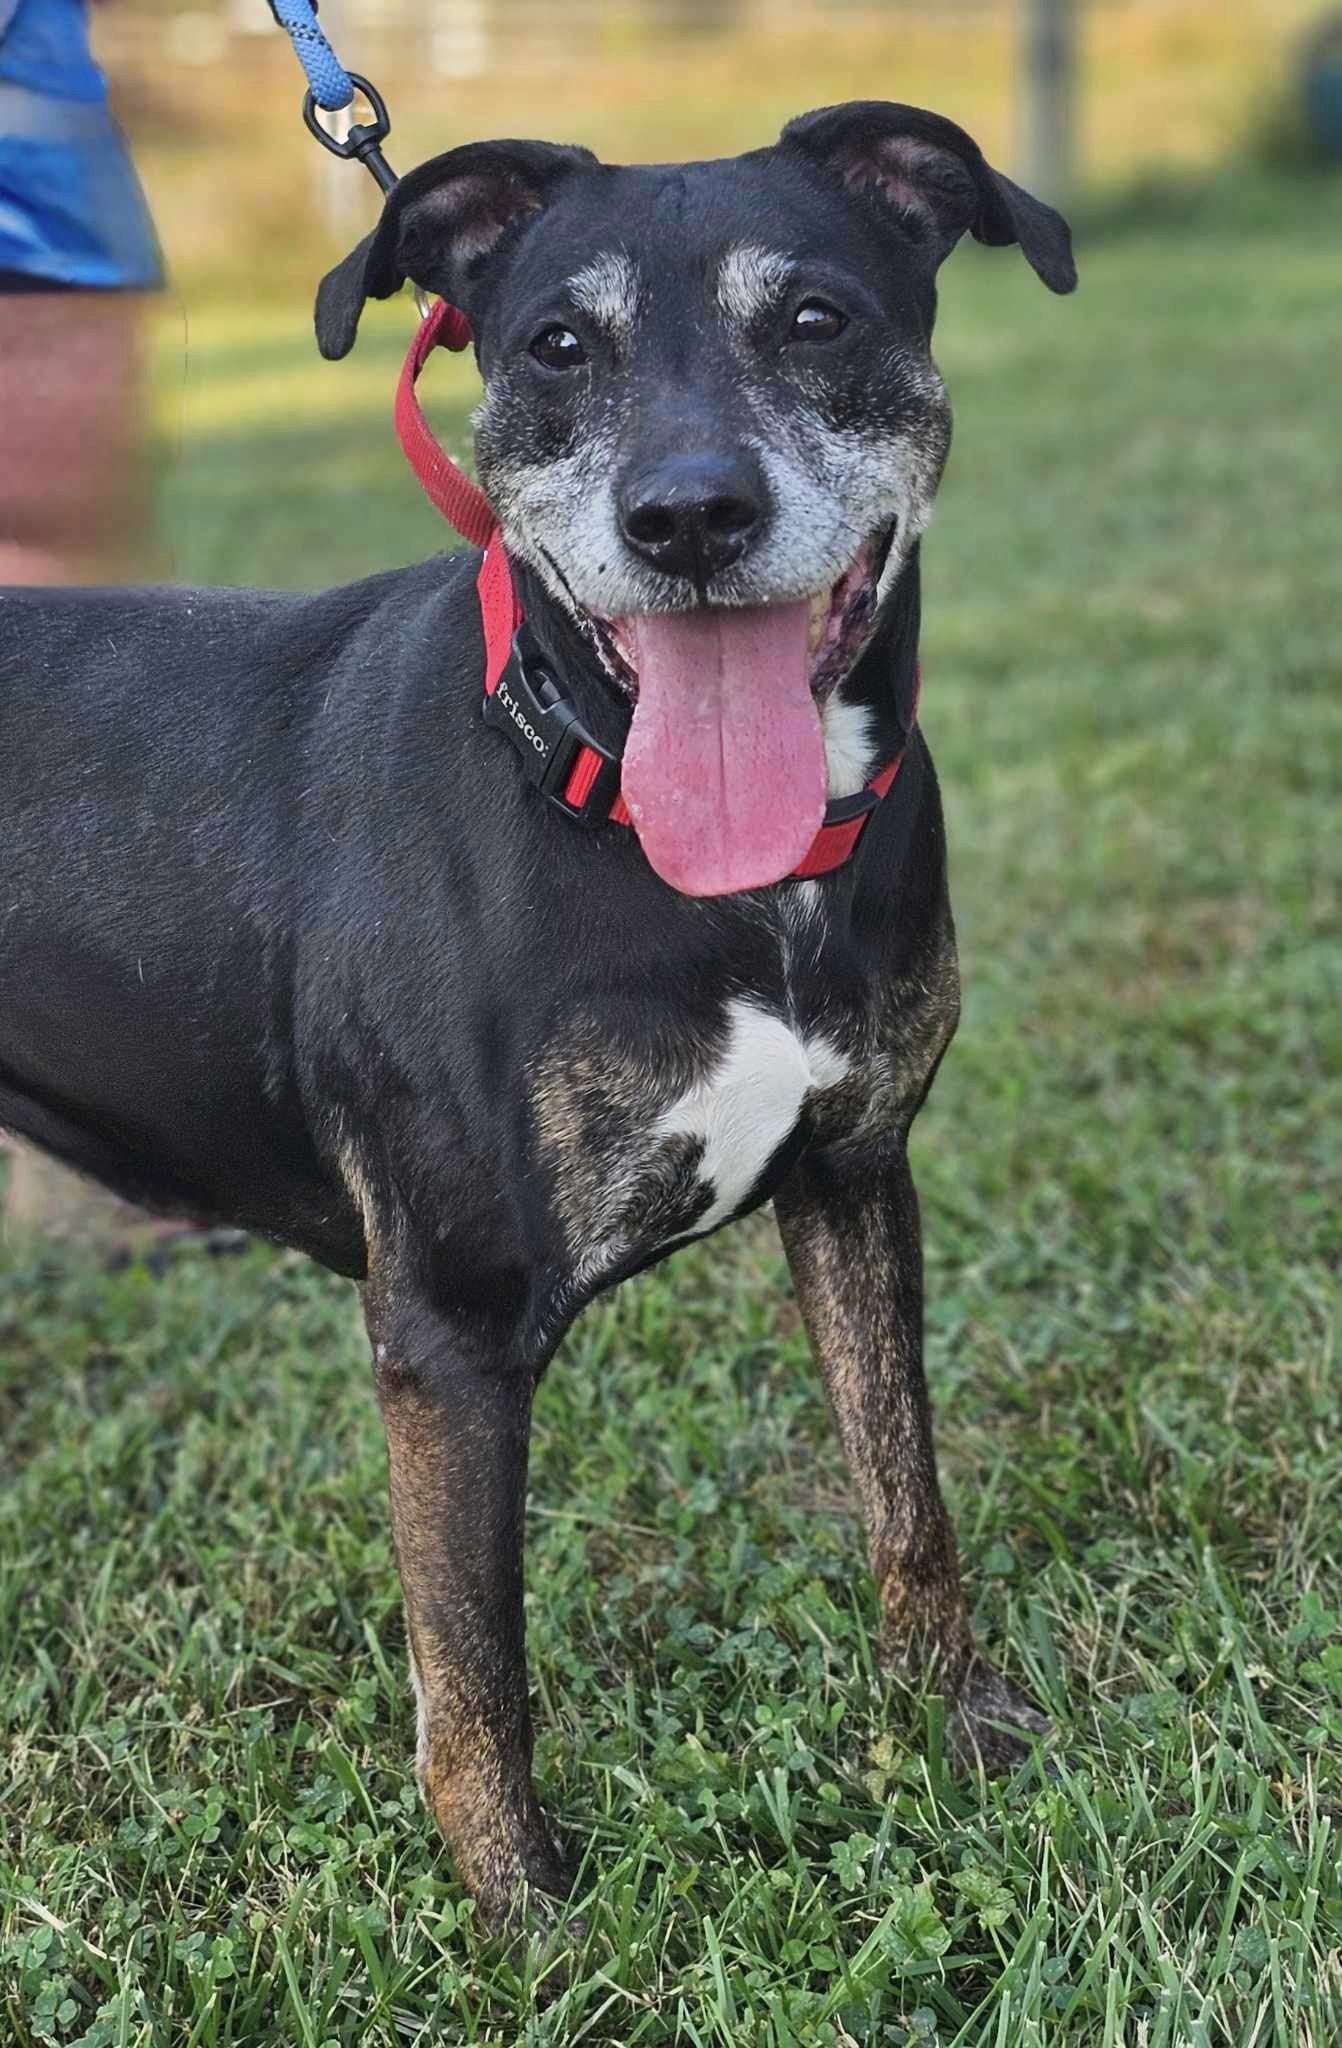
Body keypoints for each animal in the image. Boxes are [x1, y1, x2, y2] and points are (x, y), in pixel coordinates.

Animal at [0, 103, 1073, 1925]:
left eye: (815, 320)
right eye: (559, 347)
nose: (690, 517)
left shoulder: (857, 1178)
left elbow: (904, 1493)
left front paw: (961, 1724)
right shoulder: (450, 1326)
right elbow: (475, 1662)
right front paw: (524, 1919)